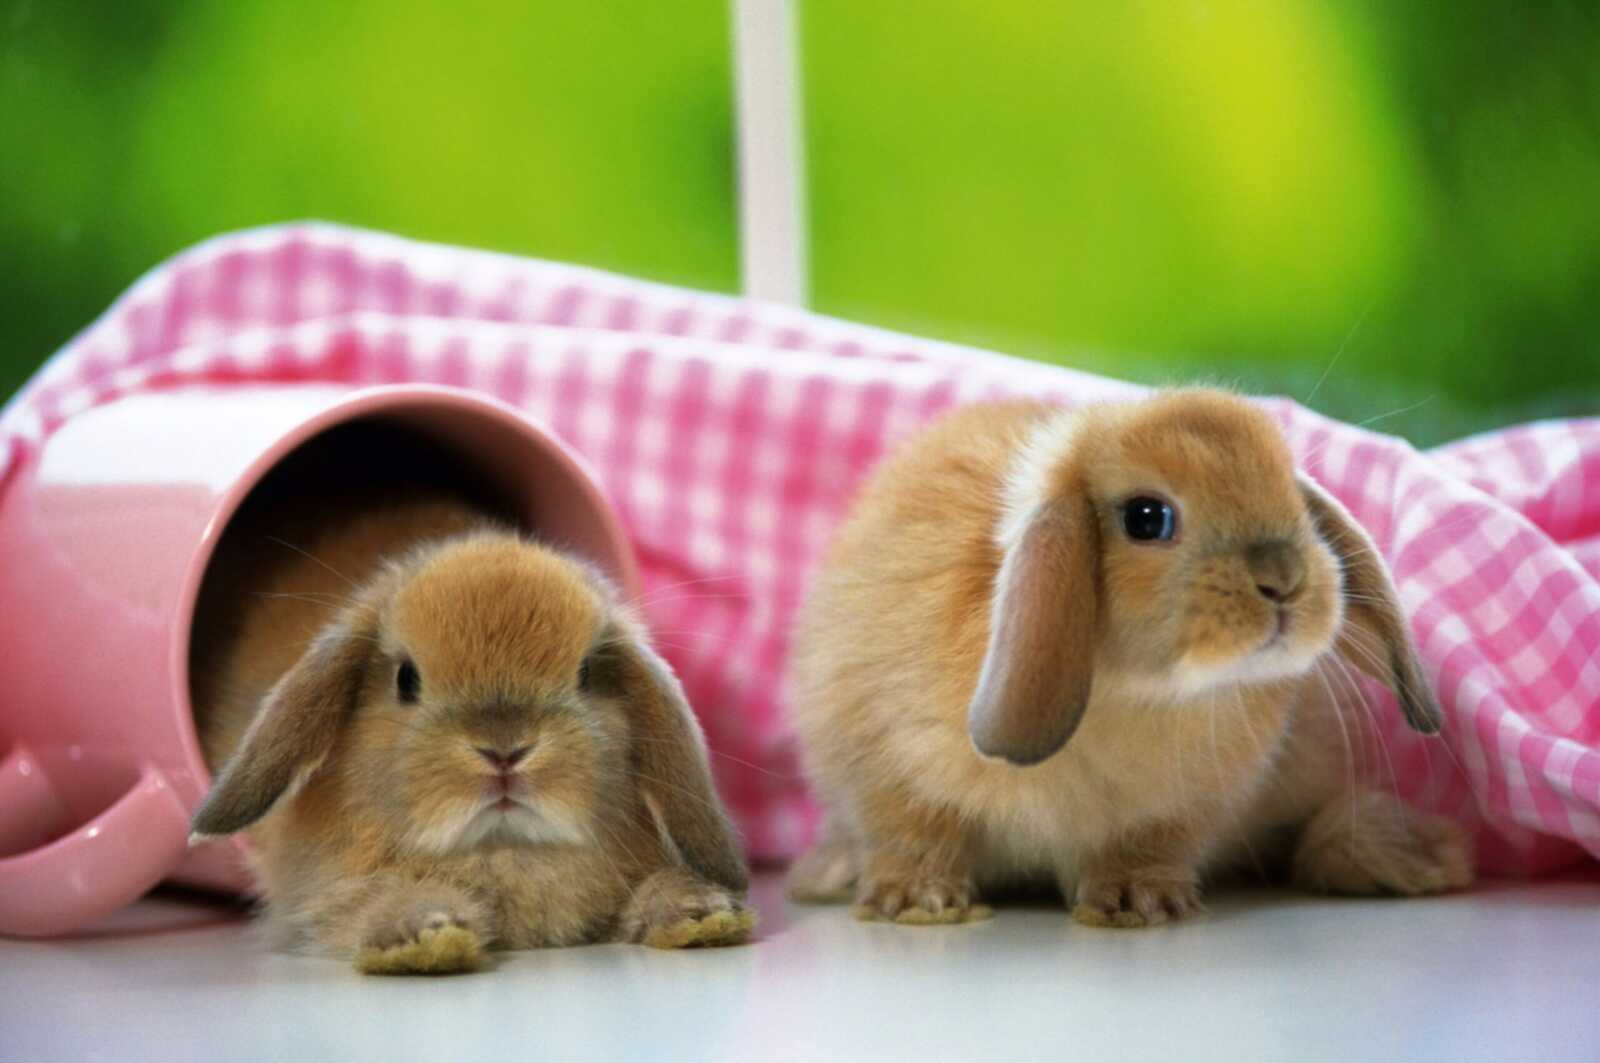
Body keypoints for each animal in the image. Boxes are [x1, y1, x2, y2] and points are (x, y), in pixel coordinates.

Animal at [189, 490, 753, 974]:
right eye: (406, 679)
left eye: (587, 673)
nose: (505, 750)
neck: (504, 848)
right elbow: (374, 906)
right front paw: (426, 934)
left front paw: (702, 913)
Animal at [786, 388, 1473, 928]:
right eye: (1147, 517)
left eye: (1294, 502)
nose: (1285, 578)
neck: (1133, 692)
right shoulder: (885, 767)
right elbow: (913, 834)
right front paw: (918, 901)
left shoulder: (1182, 809)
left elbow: (1148, 846)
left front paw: (1138, 903)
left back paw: (1410, 860)